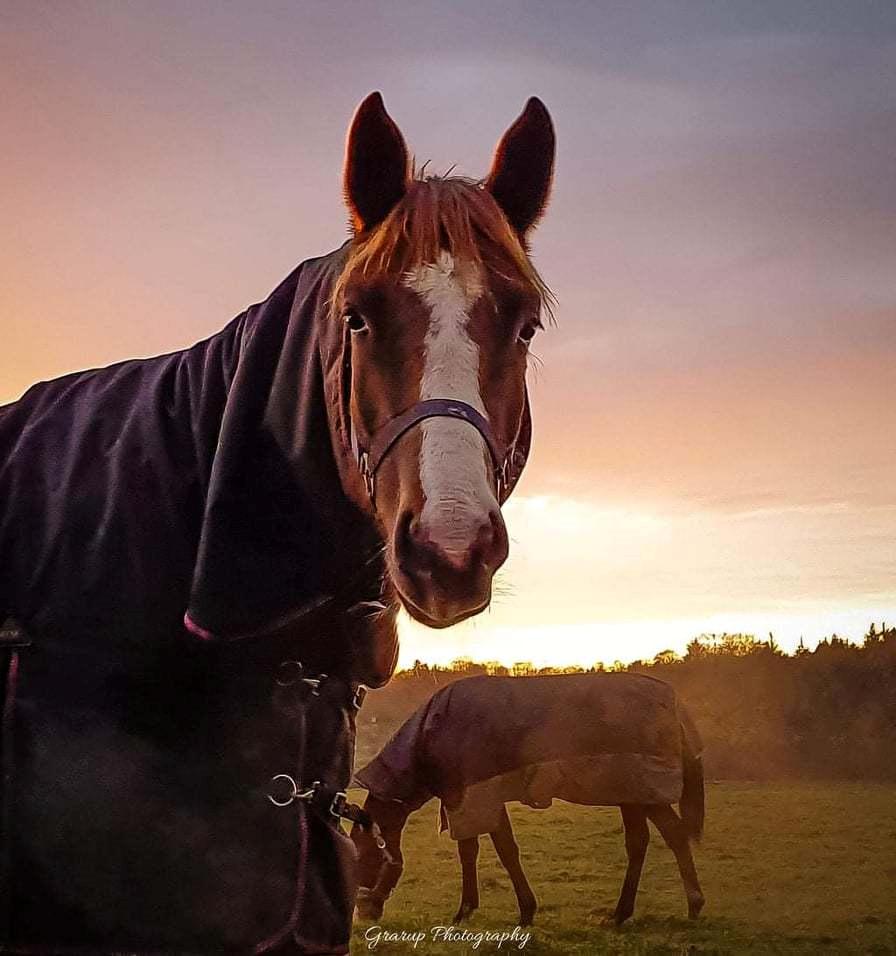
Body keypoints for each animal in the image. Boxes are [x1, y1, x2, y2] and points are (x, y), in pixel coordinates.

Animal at [352, 672, 708, 928]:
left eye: (361, 851)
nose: (362, 912)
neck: (430, 736)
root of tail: (674, 702)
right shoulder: (471, 801)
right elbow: (473, 852)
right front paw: (469, 909)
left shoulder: (477, 799)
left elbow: (504, 852)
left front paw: (521, 911)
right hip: (639, 795)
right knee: (664, 837)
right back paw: (678, 906)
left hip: (637, 793)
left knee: (649, 841)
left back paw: (636, 910)